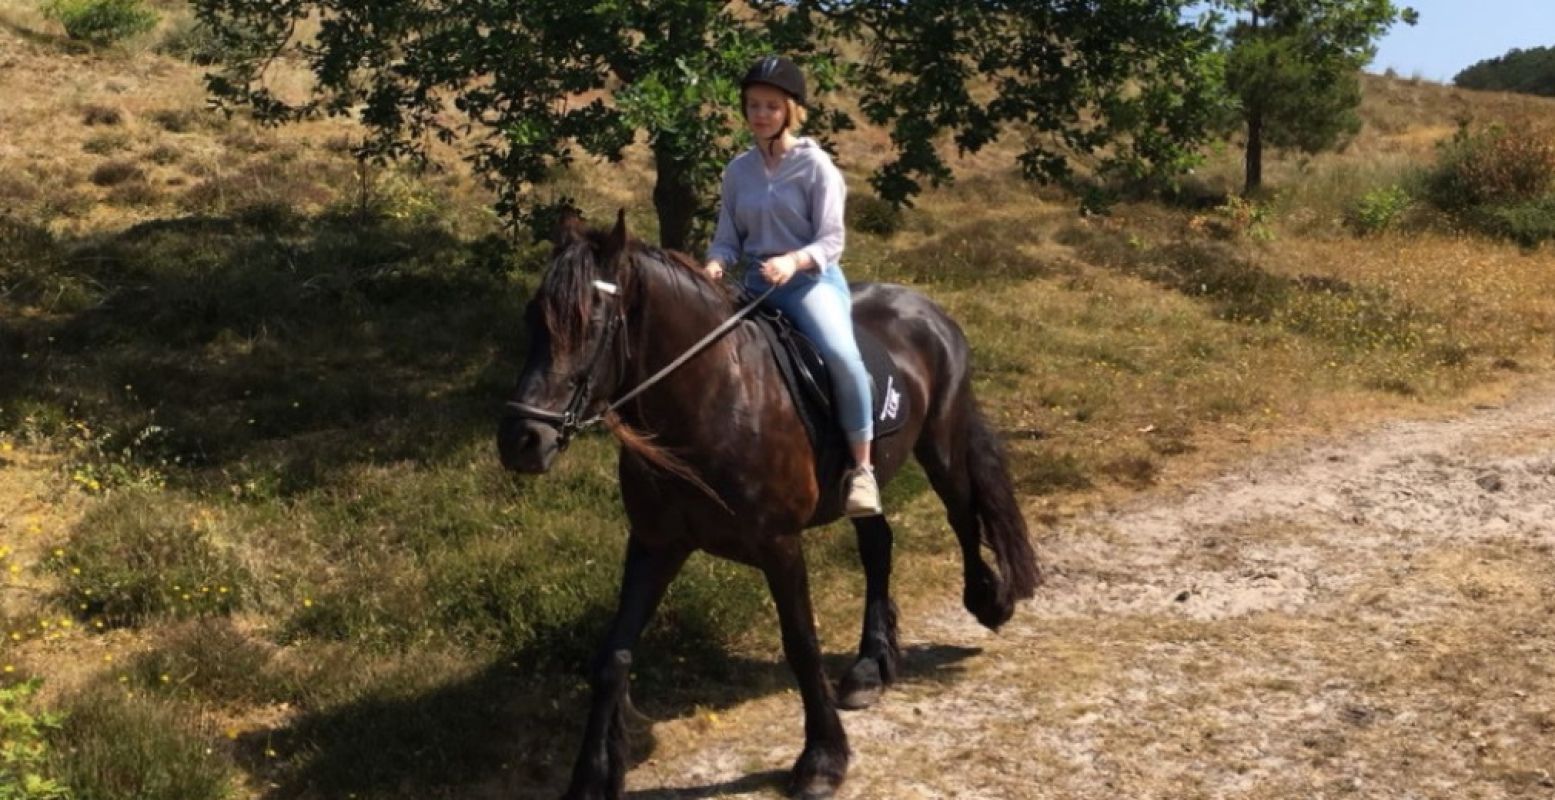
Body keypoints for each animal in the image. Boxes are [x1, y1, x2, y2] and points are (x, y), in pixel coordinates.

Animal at [497, 213, 1038, 796]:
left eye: (591, 324)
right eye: (532, 317)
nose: (521, 440)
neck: (712, 401)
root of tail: (927, 307)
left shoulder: (778, 545)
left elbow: (800, 644)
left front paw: (822, 758)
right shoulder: (654, 544)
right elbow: (613, 657)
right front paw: (593, 775)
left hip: (940, 442)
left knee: (962, 514)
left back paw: (989, 601)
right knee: (878, 546)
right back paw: (870, 665)